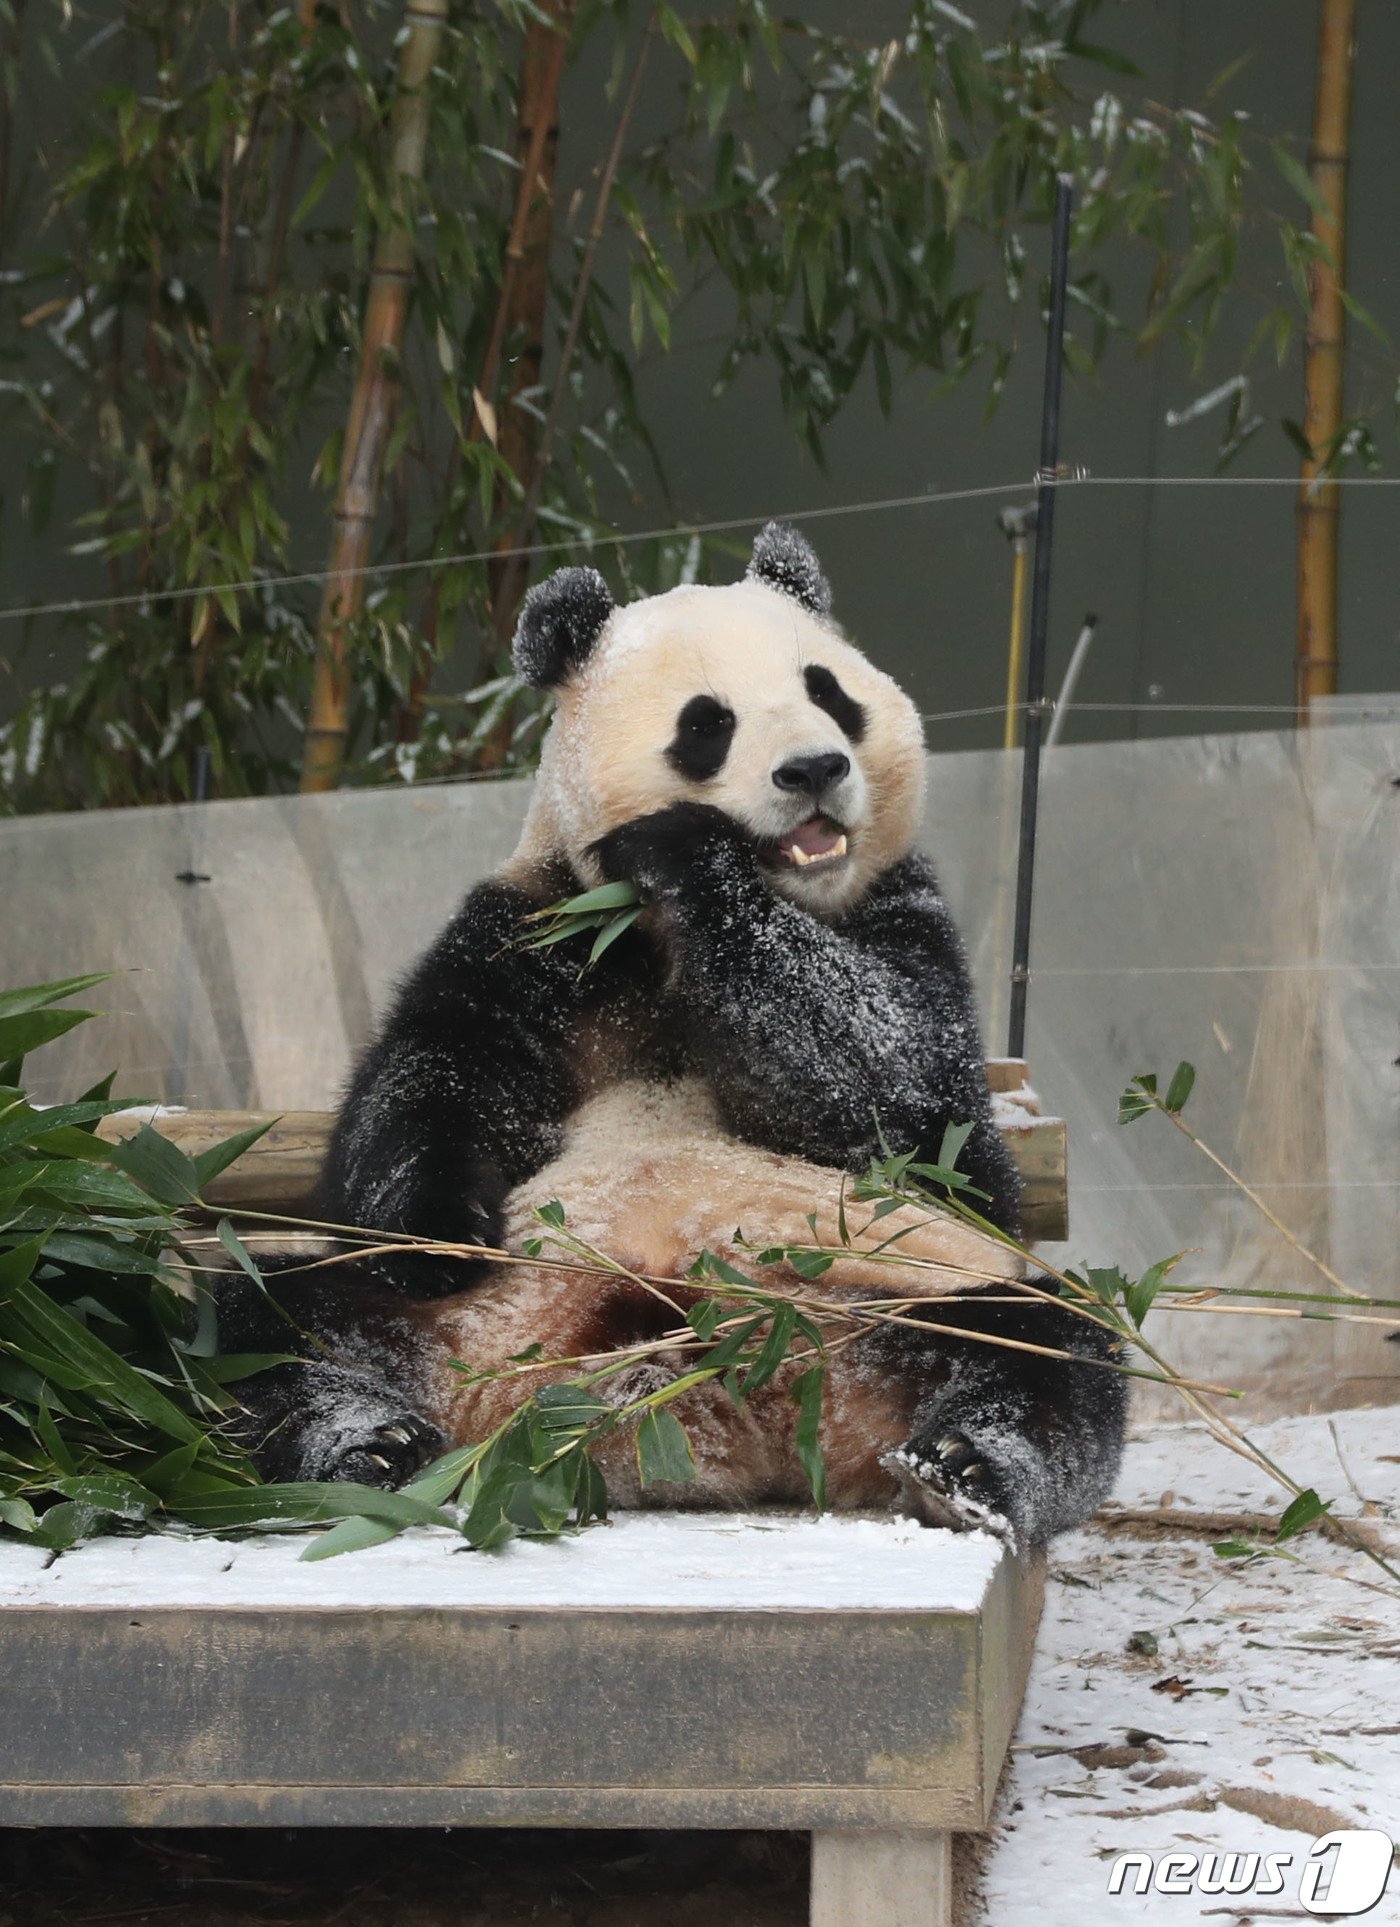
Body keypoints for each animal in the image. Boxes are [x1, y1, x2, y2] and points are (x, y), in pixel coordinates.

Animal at [230, 527, 1124, 1549]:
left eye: (828, 691)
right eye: (708, 723)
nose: (814, 769)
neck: (658, 936)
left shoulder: (904, 914)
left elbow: (904, 1093)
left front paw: (691, 851)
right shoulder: (533, 932)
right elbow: (430, 1081)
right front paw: (440, 1228)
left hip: (915, 1287)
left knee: (1048, 1354)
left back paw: (965, 1469)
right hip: (442, 1320)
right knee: (262, 1332)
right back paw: (367, 1447)